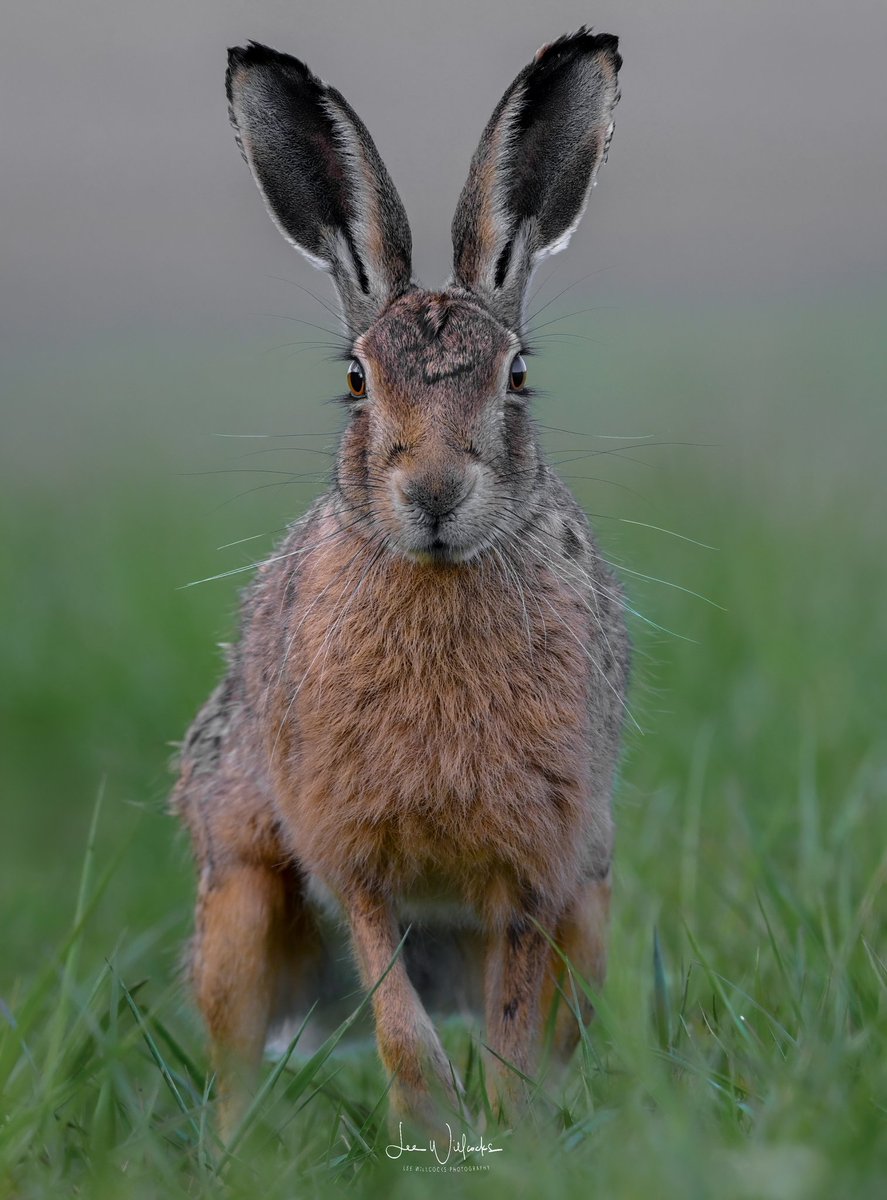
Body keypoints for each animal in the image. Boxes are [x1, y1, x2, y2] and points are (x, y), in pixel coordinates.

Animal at [171, 28, 628, 1138]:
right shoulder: (352, 857)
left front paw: (502, 1139)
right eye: (353, 380)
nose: (431, 493)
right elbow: (397, 1021)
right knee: (234, 1056)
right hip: (236, 901)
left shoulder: (537, 872)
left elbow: (509, 1035)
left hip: (594, 914)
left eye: (516, 376)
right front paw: (435, 1125)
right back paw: (236, 1153)